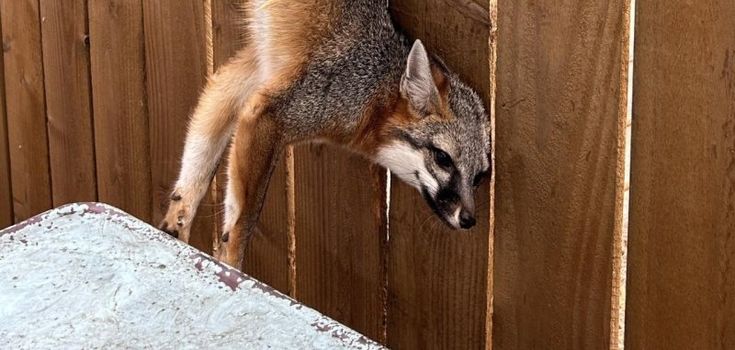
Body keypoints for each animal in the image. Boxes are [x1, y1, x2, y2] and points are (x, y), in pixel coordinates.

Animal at [162, 0, 494, 266]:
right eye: (443, 158)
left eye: (479, 177)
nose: (469, 219)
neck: (372, 91)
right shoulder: (270, 113)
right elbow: (243, 221)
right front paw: (231, 267)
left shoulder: (248, 74)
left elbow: (197, 165)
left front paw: (175, 225)